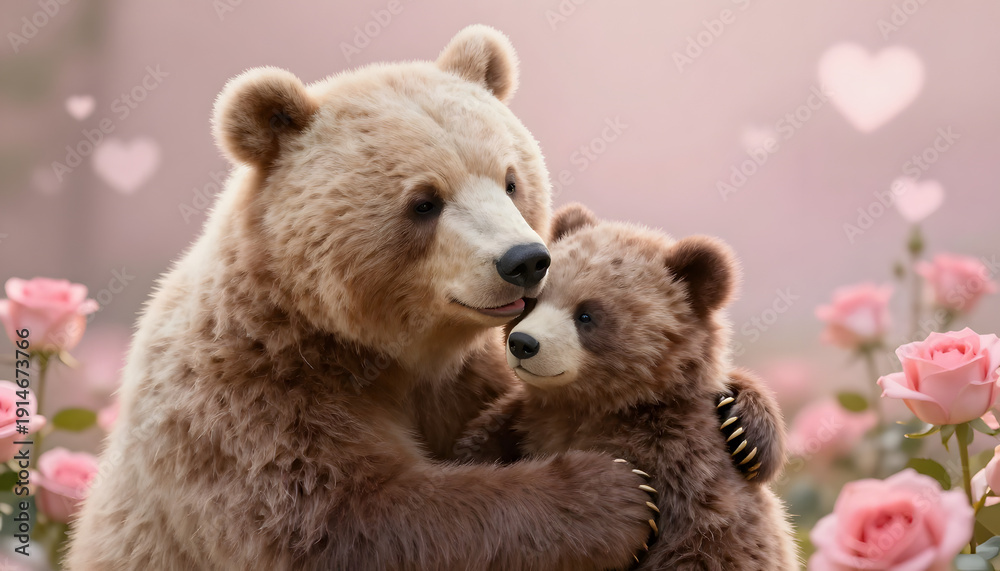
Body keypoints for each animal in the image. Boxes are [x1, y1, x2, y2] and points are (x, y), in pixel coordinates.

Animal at [456, 203, 799, 570]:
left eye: (586, 315)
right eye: (532, 302)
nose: (523, 343)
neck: (593, 404)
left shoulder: (679, 458)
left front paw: (742, 430)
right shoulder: (528, 420)